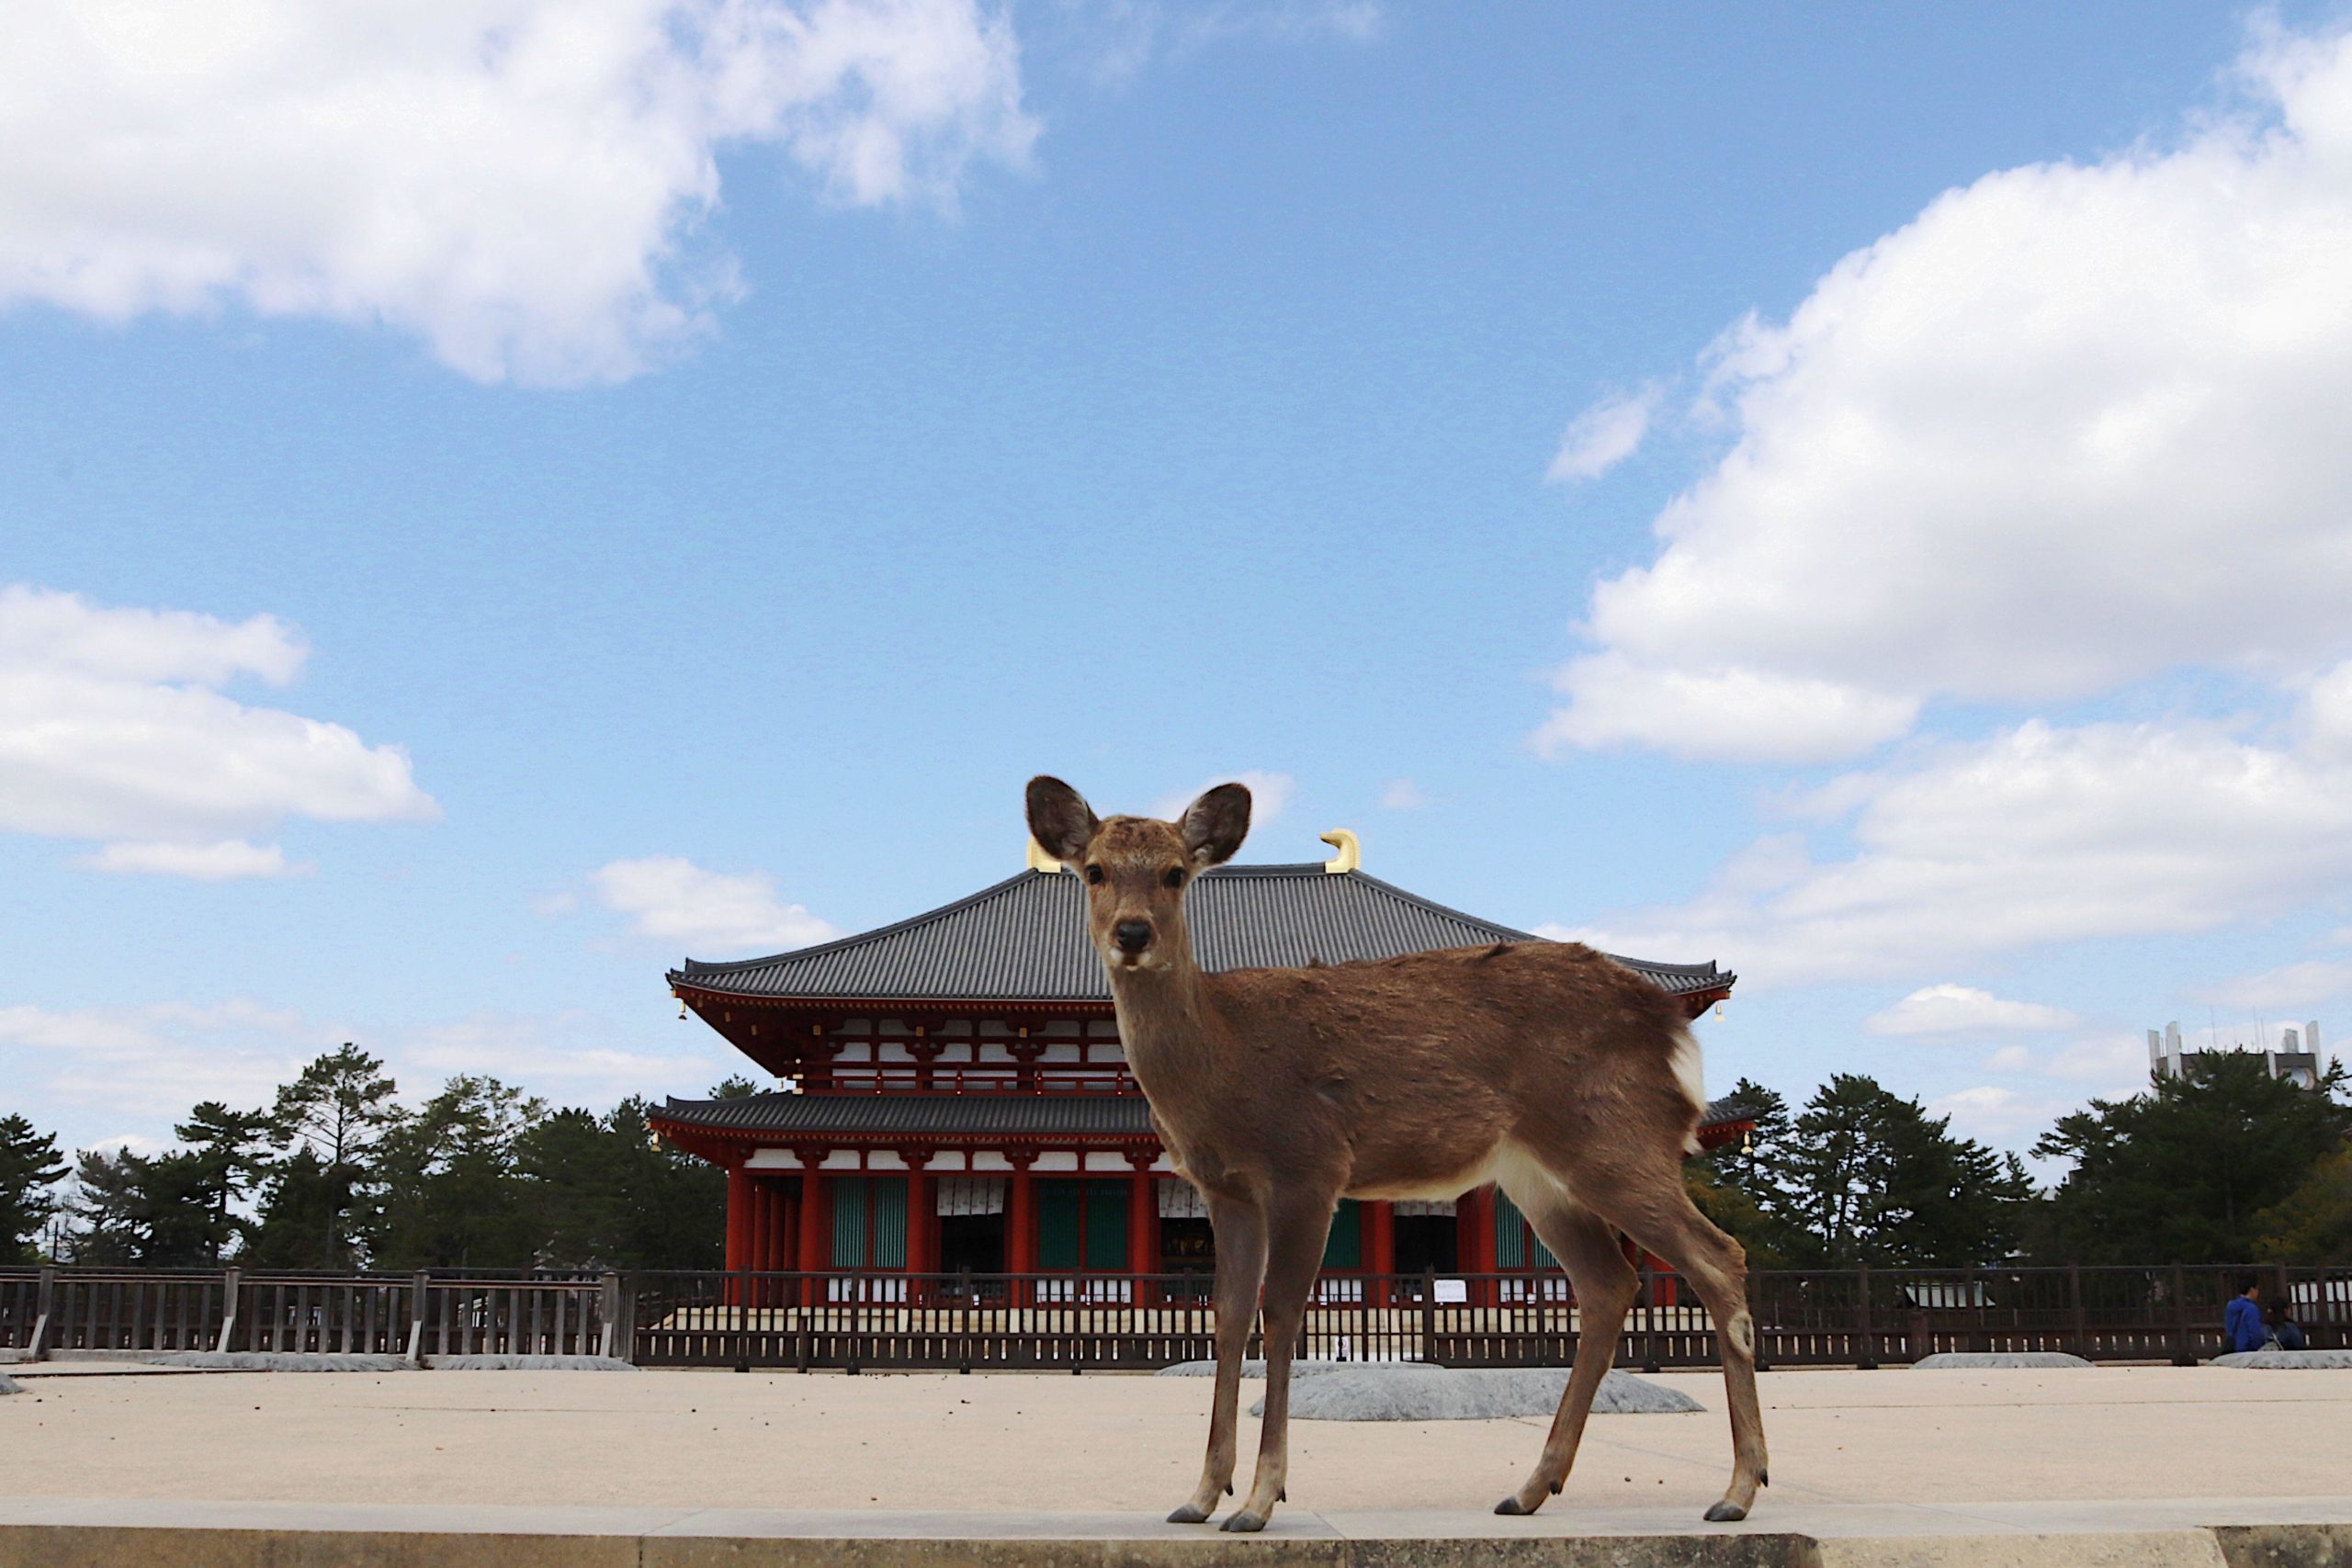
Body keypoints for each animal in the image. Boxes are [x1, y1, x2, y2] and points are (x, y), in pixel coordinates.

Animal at [1025, 776, 1767, 1533]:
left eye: (1176, 873)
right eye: (1095, 870)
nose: (1133, 932)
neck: (1223, 1064)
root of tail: (1674, 1029)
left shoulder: (1308, 1163)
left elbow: (1282, 1312)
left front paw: (1260, 1498)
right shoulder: (1223, 1186)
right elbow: (1227, 1318)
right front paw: (1200, 1494)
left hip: (1615, 1138)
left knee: (1718, 1256)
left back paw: (1737, 1488)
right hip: (1539, 1173)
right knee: (1609, 1282)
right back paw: (1530, 1487)